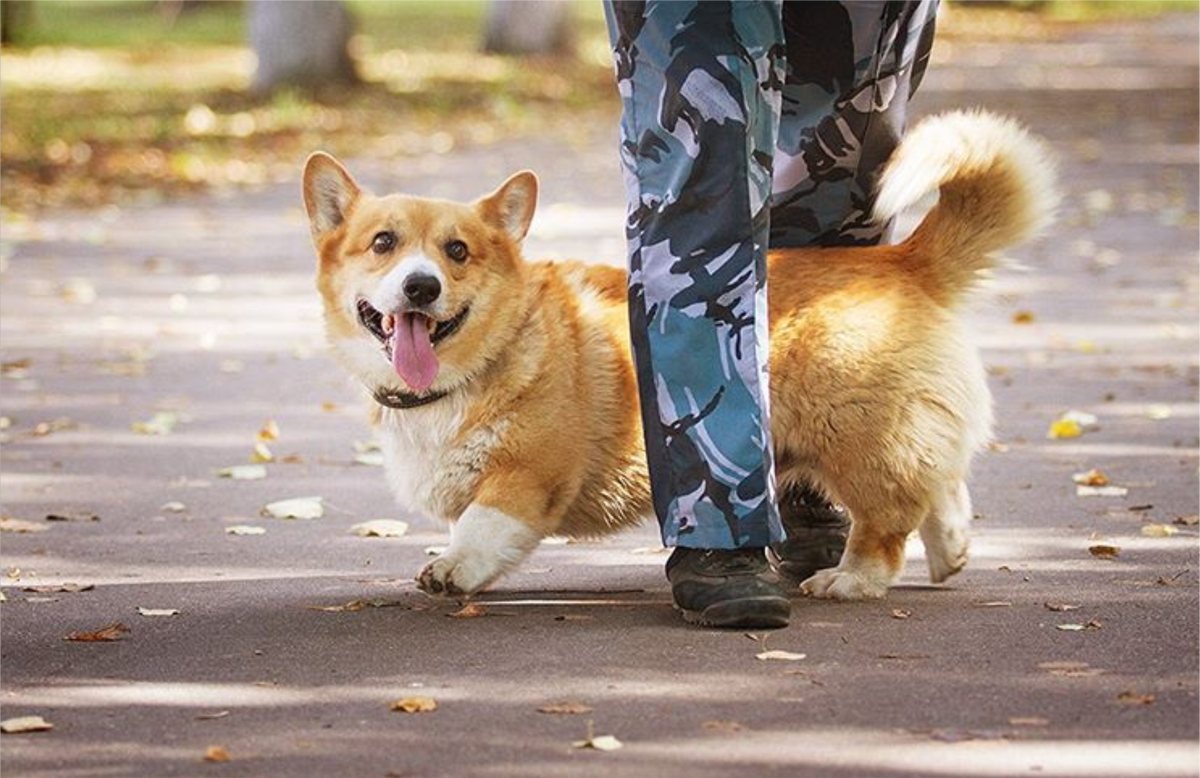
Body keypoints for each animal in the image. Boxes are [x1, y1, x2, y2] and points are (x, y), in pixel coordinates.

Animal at [304, 109, 1056, 597]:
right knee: (939, 485)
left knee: (885, 517)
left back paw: (849, 579)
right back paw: (950, 554)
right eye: (383, 243)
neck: (478, 365)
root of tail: (902, 261)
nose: (421, 286)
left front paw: (451, 570)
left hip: (855, 436)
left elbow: (482, 528)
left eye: (456, 251)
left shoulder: (527, 476)